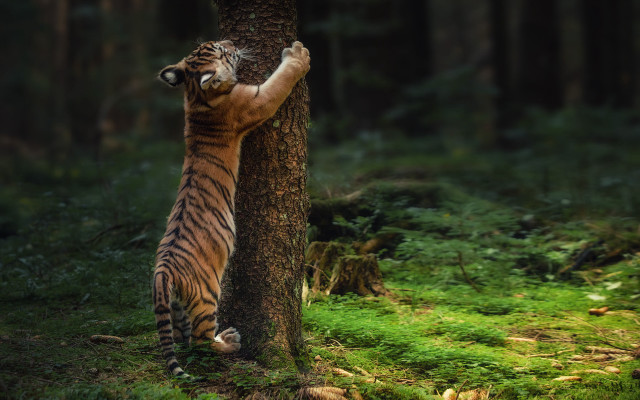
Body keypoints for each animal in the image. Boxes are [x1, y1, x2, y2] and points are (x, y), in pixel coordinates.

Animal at [153, 40, 310, 377]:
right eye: (223, 52)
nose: (230, 42)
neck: (196, 98)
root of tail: (162, 271)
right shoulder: (257, 101)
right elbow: (280, 81)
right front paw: (297, 55)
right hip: (207, 293)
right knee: (200, 340)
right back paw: (230, 341)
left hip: (178, 305)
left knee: (184, 339)